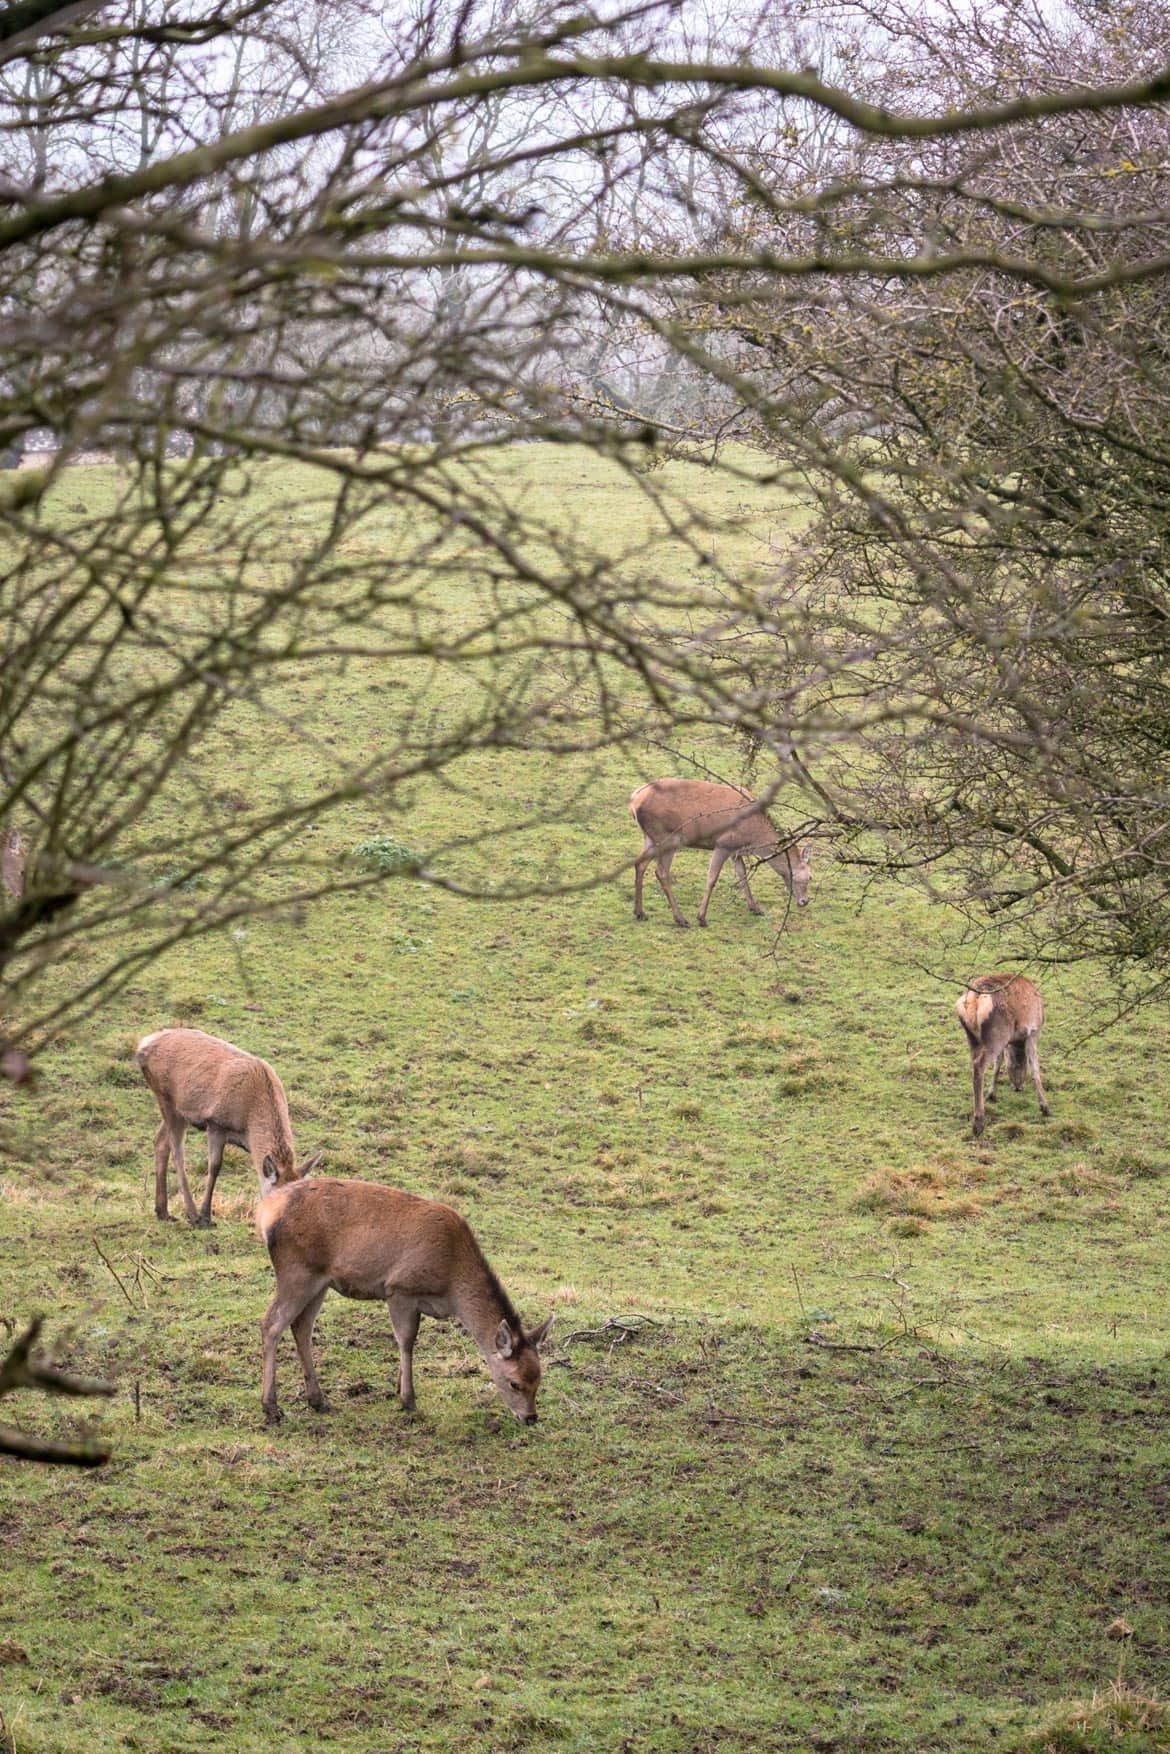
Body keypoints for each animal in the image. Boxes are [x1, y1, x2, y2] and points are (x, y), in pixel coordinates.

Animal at [135, 1024, 322, 1227]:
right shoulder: (216, 1123)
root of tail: (143, 1044)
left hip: (178, 1109)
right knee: (177, 1151)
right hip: (166, 1098)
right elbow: (215, 1166)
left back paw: (162, 1211)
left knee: (160, 1142)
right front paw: (206, 1216)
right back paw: (192, 1214)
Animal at [257, 1164, 550, 1424]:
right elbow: (406, 1340)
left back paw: (317, 1400)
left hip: (320, 1280)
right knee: (271, 1323)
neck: (451, 1284)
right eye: (514, 1383)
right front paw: (408, 1400)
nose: (530, 1418)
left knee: (301, 1326)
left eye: (539, 1378)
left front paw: (399, 1387)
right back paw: (271, 1407)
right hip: (296, 1270)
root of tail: (267, 1212)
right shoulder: (399, 1289)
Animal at [954, 975, 1045, 1136]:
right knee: (979, 1065)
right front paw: (1044, 1107)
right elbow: (1035, 1066)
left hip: (973, 1037)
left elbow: (999, 1062)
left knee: (975, 1063)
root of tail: (974, 997)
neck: (1016, 1041)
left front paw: (992, 1094)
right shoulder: (1033, 1031)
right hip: (998, 1033)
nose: (1018, 1087)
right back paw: (979, 1123)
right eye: (1020, 1066)